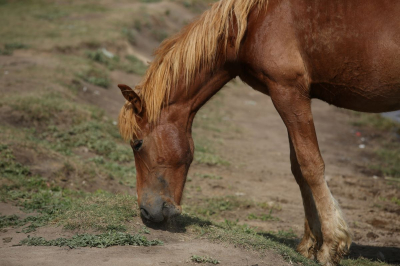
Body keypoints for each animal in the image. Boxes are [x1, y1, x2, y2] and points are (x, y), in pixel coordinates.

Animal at [117, 1, 400, 264]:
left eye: (137, 143)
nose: (146, 212)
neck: (254, 22)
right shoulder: (291, 96)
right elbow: (298, 169)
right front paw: (310, 242)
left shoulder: (288, 92)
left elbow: (311, 165)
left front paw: (330, 246)